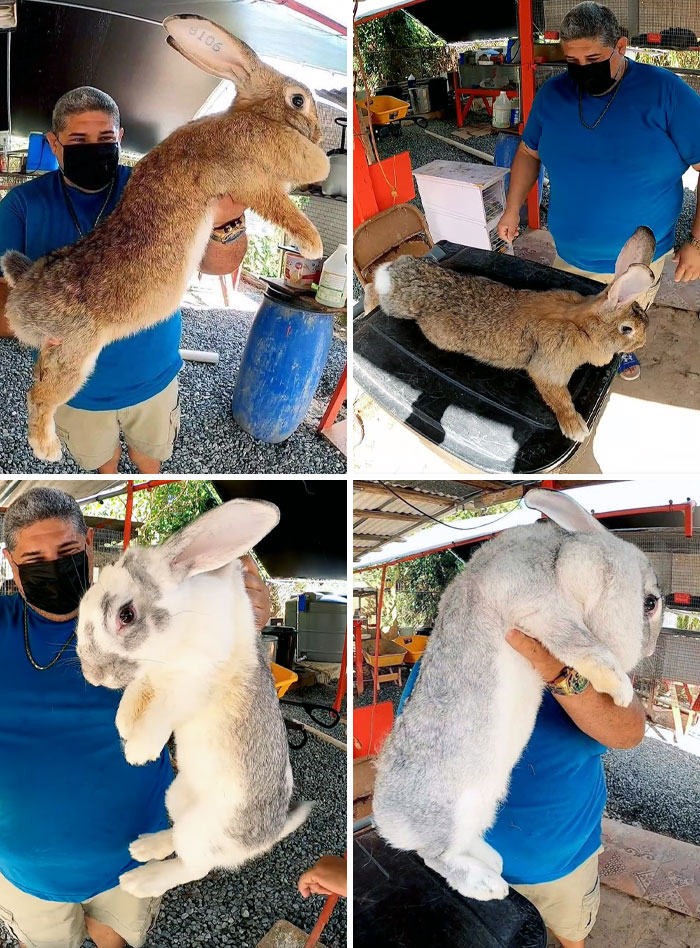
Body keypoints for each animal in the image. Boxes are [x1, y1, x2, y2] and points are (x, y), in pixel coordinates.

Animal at [1, 13, 330, 460]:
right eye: (298, 100)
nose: (319, 135)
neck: (256, 115)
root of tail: (22, 289)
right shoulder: (253, 179)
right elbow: (286, 208)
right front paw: (314, 243)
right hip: (76, 352)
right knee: (40, 396)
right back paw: (46, 449)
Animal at [73, 500, 308, 900]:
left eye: (126, 615)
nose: (93, 675)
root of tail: (267, 837)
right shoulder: (153, 673)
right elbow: (140, 690)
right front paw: (125, 721)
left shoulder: (194, 680)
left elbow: (164, 708)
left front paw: (137, 751)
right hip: (176, 796)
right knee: (177, 839)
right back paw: (145, 846)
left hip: (202, 832)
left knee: (194, 867)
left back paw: (140, 880)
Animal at [372, 492, 660, 900]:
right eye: (649, 603)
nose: (649, 649)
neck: (563, 560)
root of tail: (387, 822)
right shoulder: (544, 612)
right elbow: (587, 650)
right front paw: (621, 690)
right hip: (452, 814)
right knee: (437, 856)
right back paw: (487, 885)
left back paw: (492, 861)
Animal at [374, 228, 660, 442]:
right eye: (627, 329)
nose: (643, 342)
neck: (582, 326)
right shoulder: (548, 367)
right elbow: (559, 398)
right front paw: (576, 429)